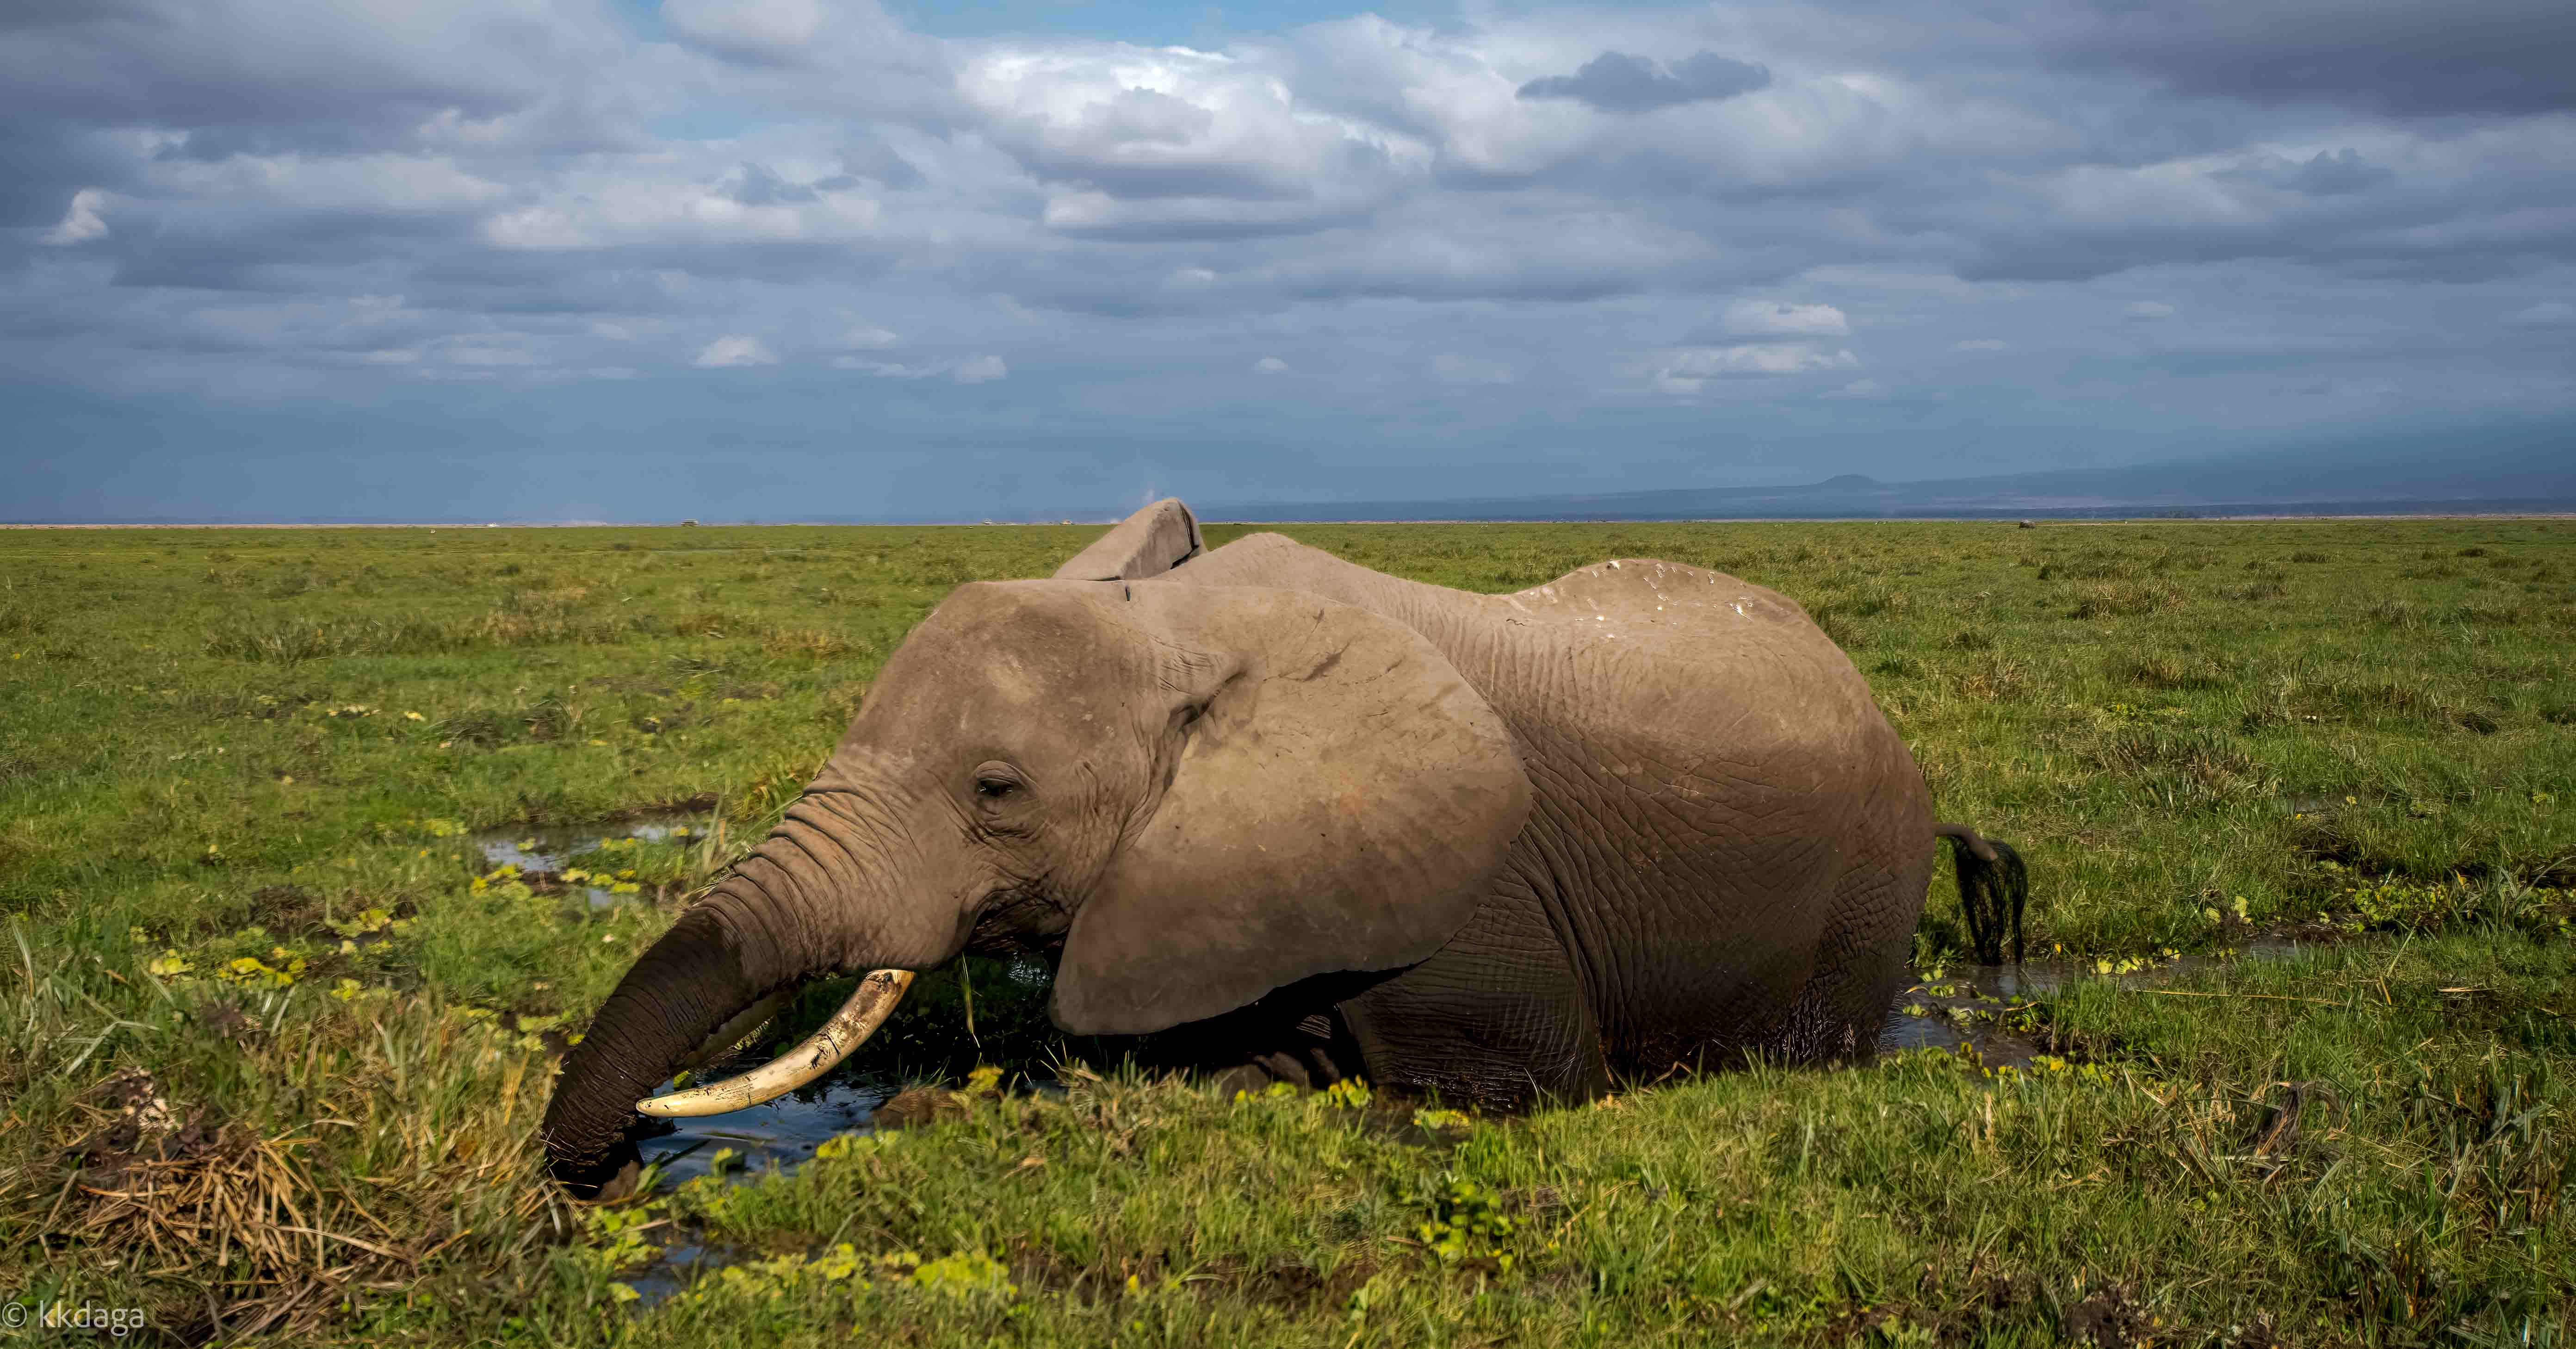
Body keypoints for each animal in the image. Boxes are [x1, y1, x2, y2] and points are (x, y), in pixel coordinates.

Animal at [543, 497, 2019, 1189]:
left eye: (996, 790)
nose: (610, 1171)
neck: (1176, 629)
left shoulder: (1469, 890)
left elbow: (1512, 1089)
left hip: (1861, 892)